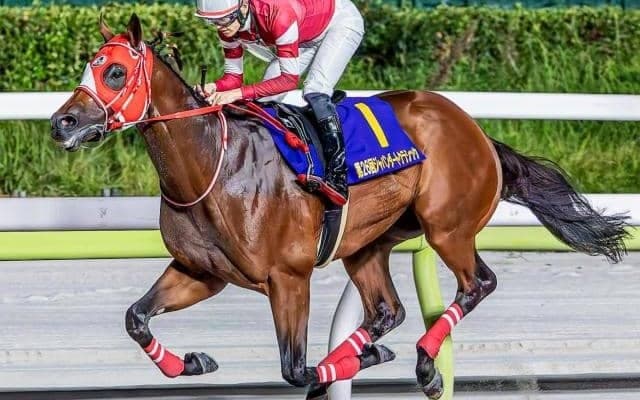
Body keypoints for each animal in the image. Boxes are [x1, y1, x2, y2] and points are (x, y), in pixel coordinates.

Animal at [50, 14, 628, 399]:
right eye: (89, 67)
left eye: (116, 72)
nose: (62, 123)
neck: (214, 165)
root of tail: (478, 131)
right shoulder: (200, 271)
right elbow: (136, 318)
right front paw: (193, 362)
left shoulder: (288, 277)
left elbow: (295, 368)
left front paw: (352, 364)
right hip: (367, 243)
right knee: (387, 310)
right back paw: (383, 352)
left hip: (447, 229)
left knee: (476, 284)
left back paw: (423, 364)